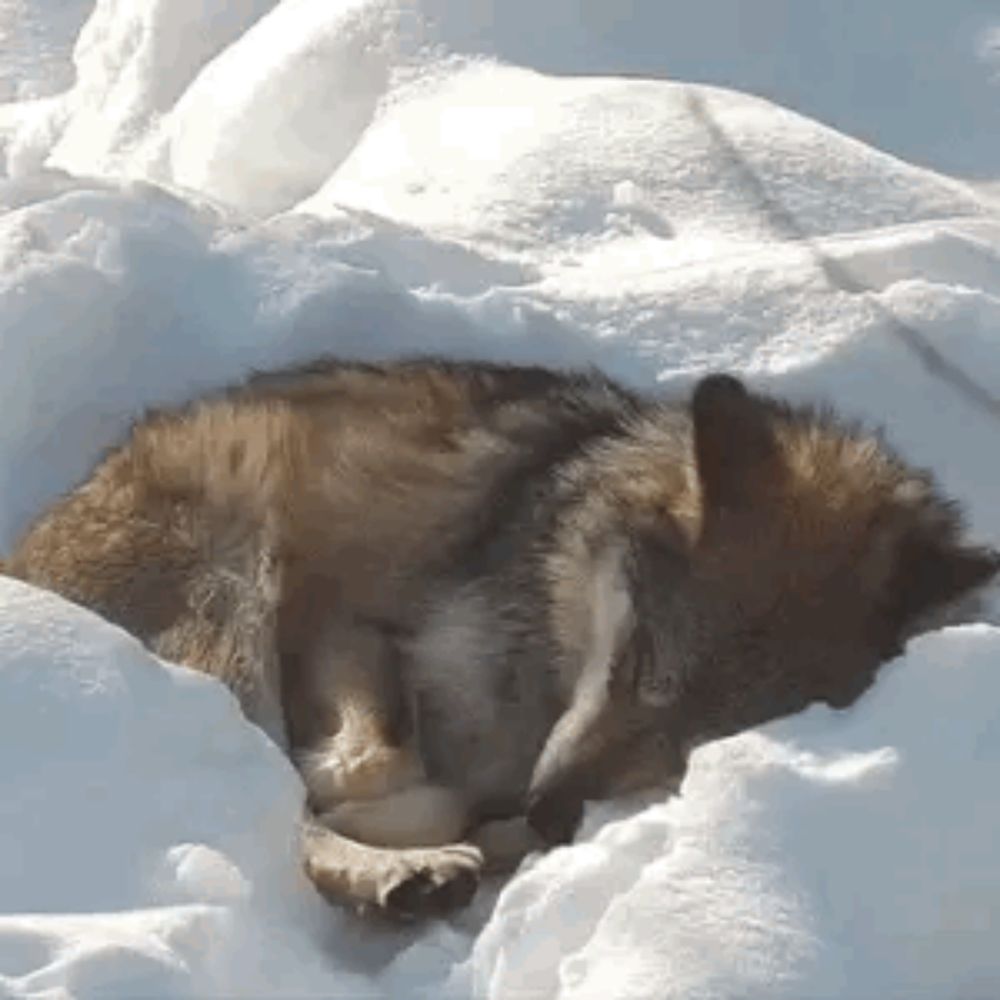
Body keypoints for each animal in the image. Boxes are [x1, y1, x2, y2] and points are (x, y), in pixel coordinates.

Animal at [3, 360, 996, 916]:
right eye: (639, 659)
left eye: (704, 741)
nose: (554, 808)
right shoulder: (344, 622)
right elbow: (375, 766)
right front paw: (375, 809)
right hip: (231, 568)